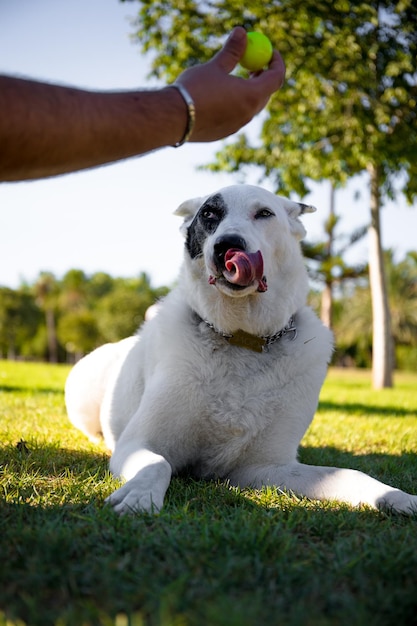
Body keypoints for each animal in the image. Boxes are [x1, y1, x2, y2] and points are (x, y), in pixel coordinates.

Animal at [65, 184, 416, 512]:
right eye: (209, 214)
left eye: (264, 213)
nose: (227, 246)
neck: (241, 338)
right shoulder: (138, 443)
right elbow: (157, 464)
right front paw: (139, 496)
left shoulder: (264, 468)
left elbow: (350, 474)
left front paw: (396, 497)